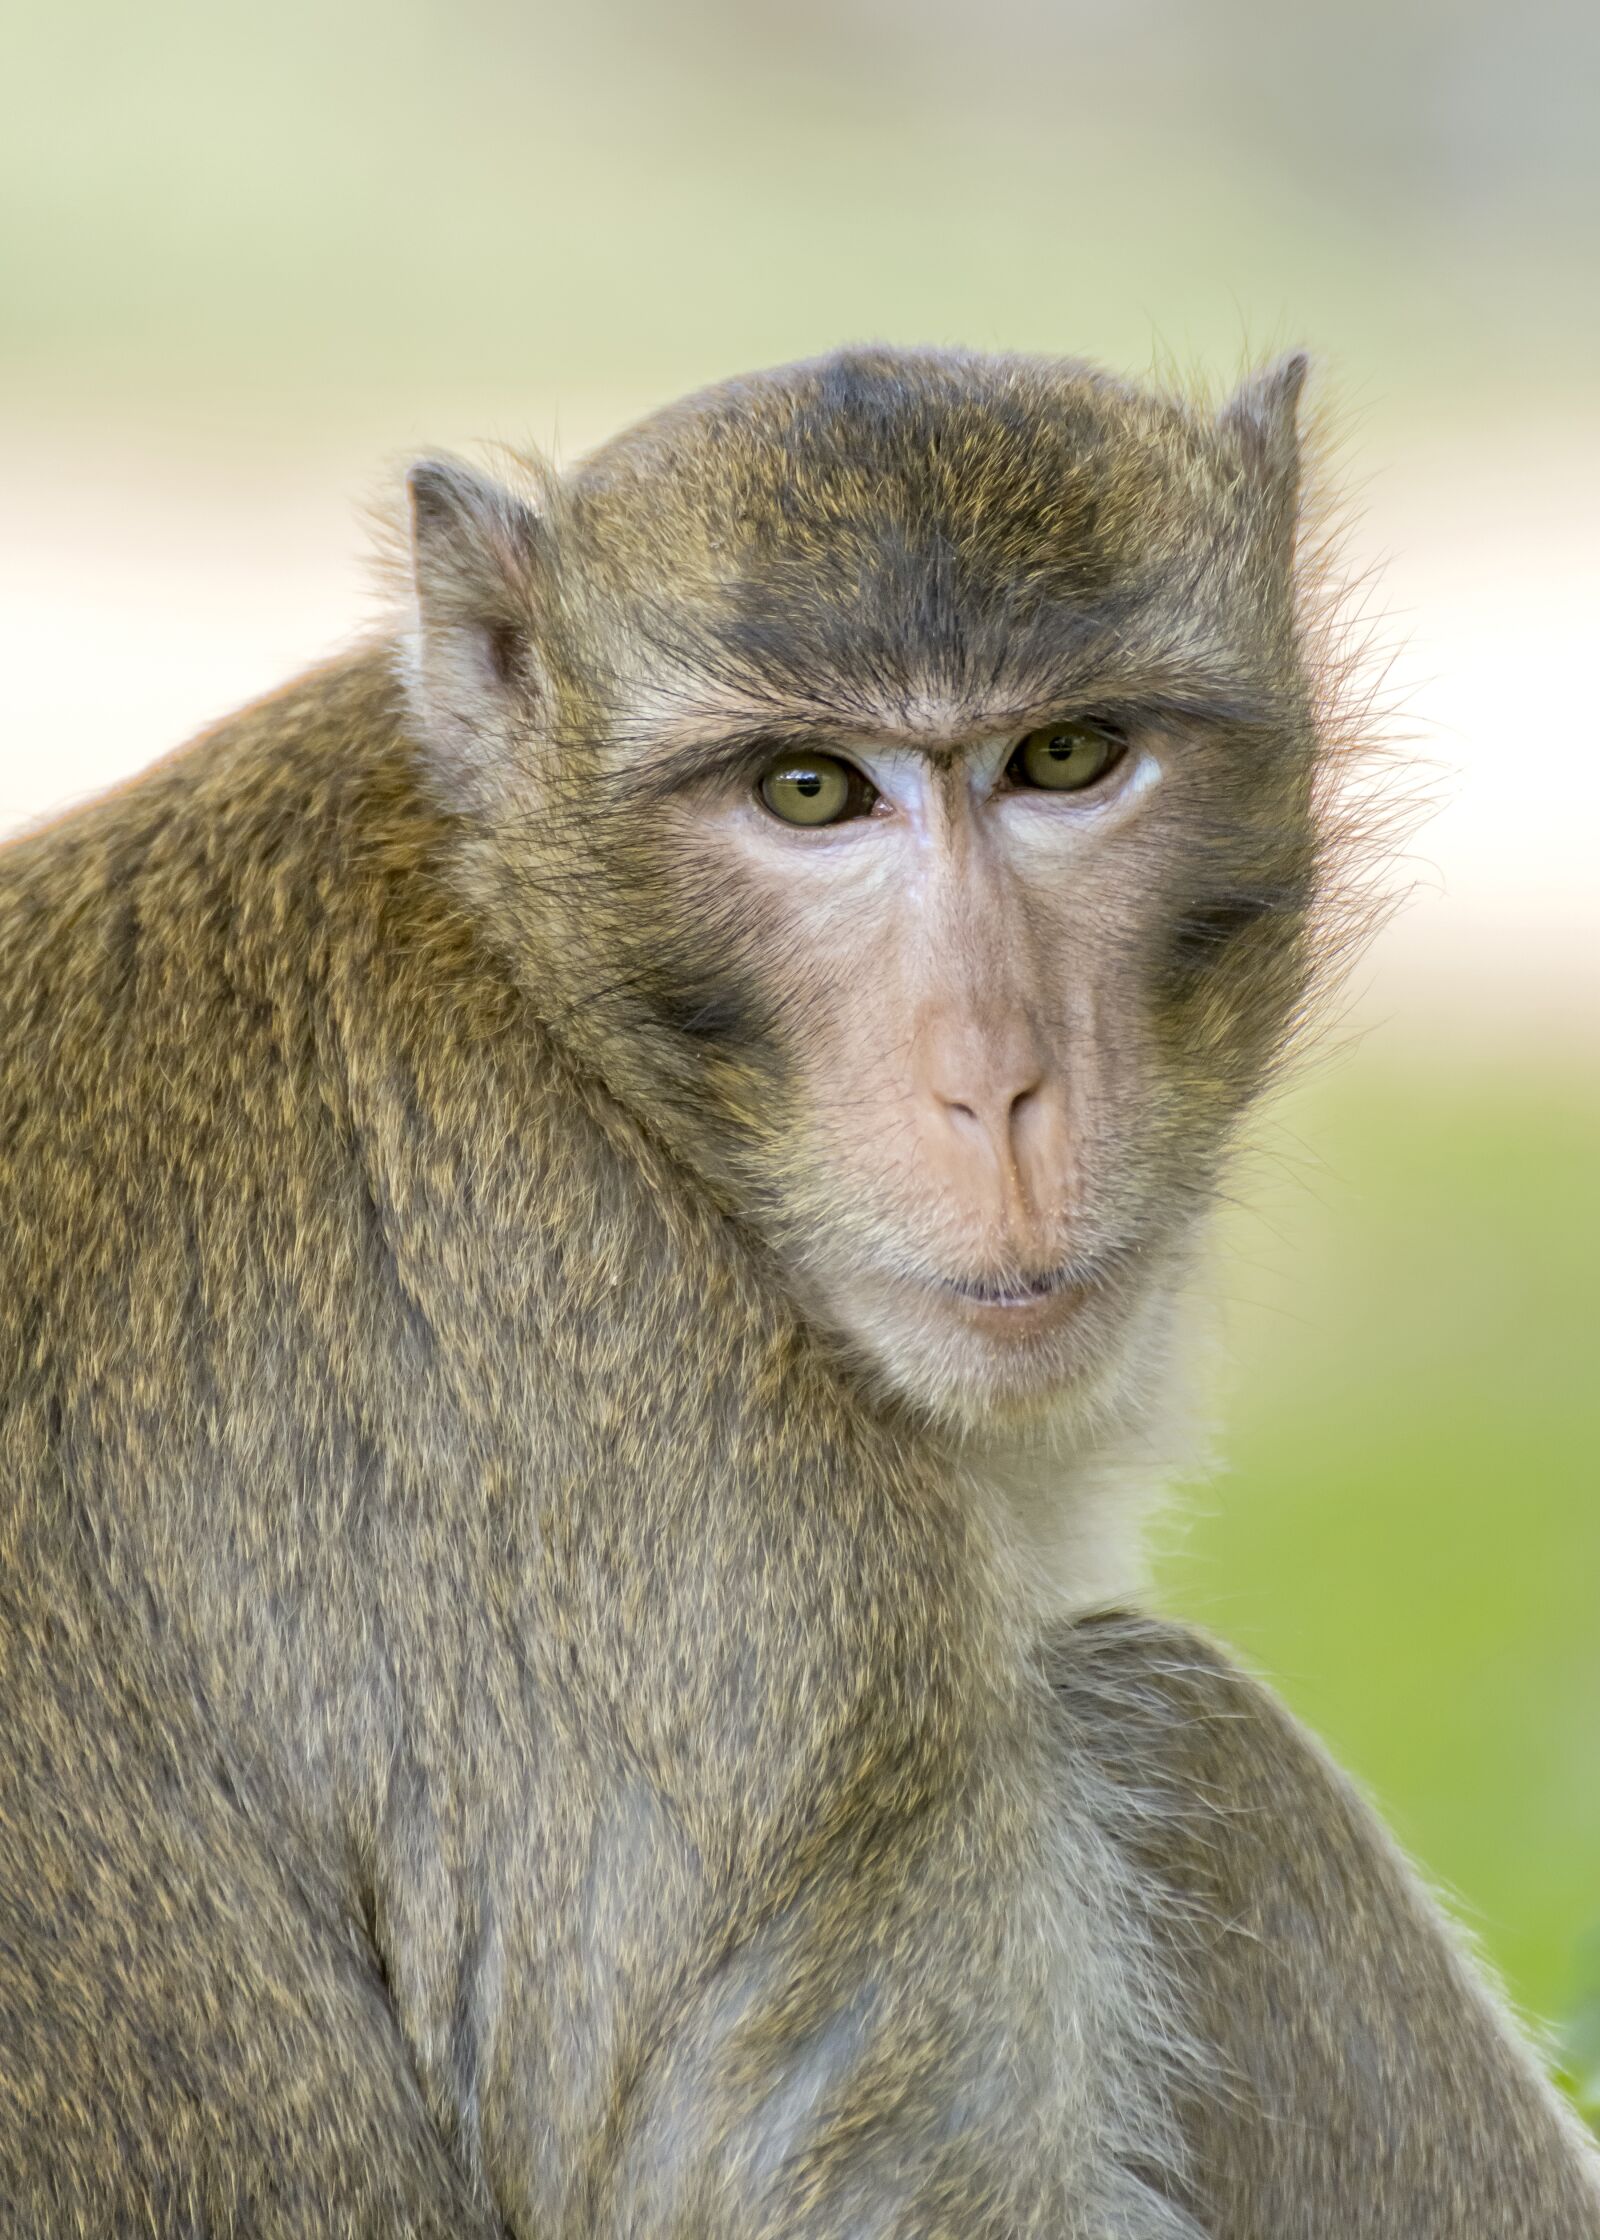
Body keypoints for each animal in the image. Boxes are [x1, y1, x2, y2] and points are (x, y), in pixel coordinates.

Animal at [0, 345, 1595, 2240]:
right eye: (810, 792)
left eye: (1067, 758)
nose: (995, 1085)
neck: (561, 1004)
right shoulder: (727, 1554)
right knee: (1179, 1720)